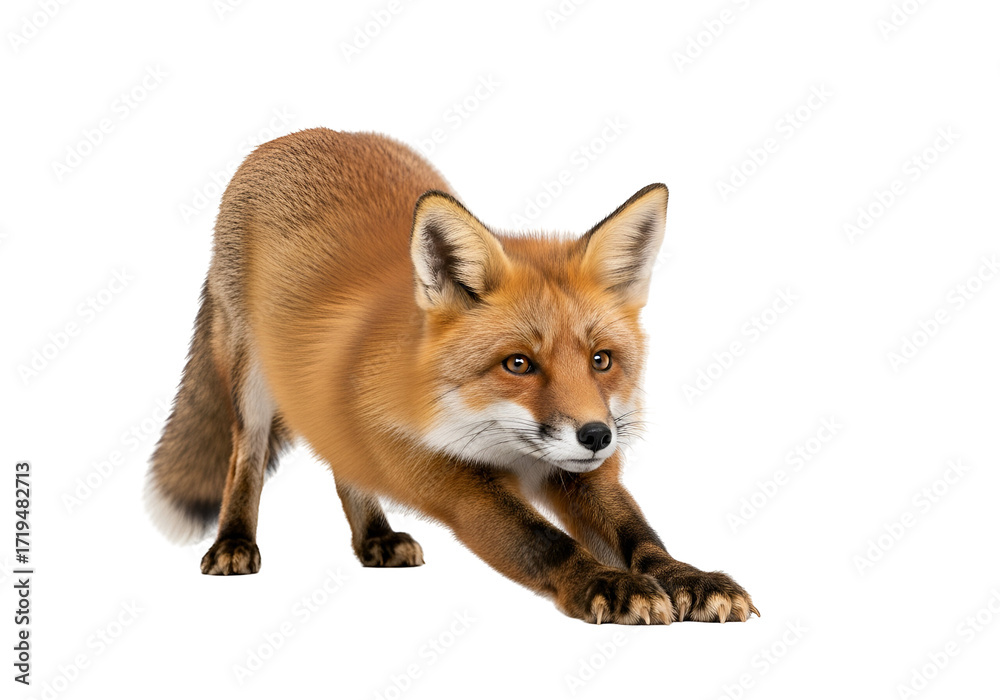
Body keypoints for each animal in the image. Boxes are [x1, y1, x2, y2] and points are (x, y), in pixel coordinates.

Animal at [145, 128, 757, 625]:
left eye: (601, 360)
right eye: (518, 363)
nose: (597, 435)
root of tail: (294, 136)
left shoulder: (583, 472)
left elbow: (639, 532)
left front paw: (684, 577)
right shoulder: (445, 474)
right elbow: (542, 541)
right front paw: (607, 582)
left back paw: (375, 537)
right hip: (251, 382)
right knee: (244, 457)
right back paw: (234, 542)